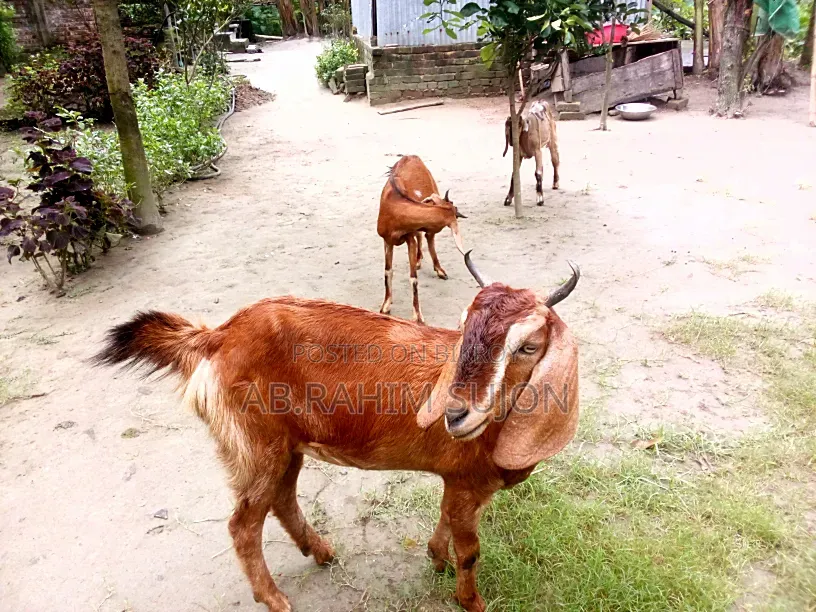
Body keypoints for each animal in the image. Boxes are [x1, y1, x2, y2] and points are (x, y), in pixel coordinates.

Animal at [95, 253, 580, 612]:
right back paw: (275, 598)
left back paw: (321, 551)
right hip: (255, 444)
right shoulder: (466, 481)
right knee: (243, 524)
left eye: (529, 346)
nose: (455, 414)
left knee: (281, 499)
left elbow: (445, 522)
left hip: (286, 445)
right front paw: (471, 600)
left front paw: (435, 557)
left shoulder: (457, 482)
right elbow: (471, 550)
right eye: (465, 329)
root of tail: (217, 337)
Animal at [378, 155, 466, 324]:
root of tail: (412, 156)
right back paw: (420, 261)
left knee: (428, 239)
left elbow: (413, 278)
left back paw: (439, 270)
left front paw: (418, 317)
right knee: (422, 236)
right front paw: (385, 306)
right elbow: (388, 271)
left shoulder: (409, 238)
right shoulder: (387, 240)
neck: (395, 206)